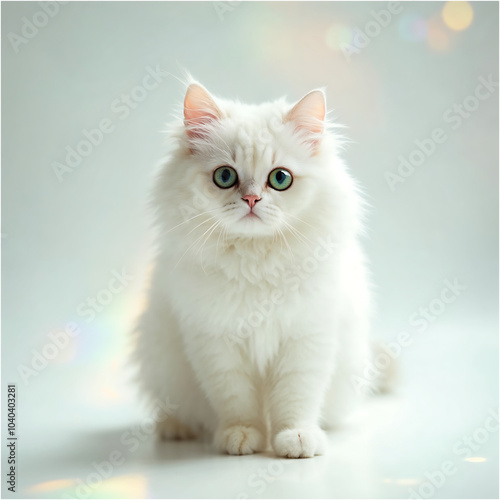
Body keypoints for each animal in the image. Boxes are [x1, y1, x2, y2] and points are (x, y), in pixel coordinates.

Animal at [133, 80, 378, 458]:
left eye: (280, 178)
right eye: (225, 176)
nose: (251, 200)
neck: (255, 260)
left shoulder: (307, 336)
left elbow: (296, 397)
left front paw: (297, 439)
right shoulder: (214, 340)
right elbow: (236, 399)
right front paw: (242, 437)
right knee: (175, 407)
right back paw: (176, 429)